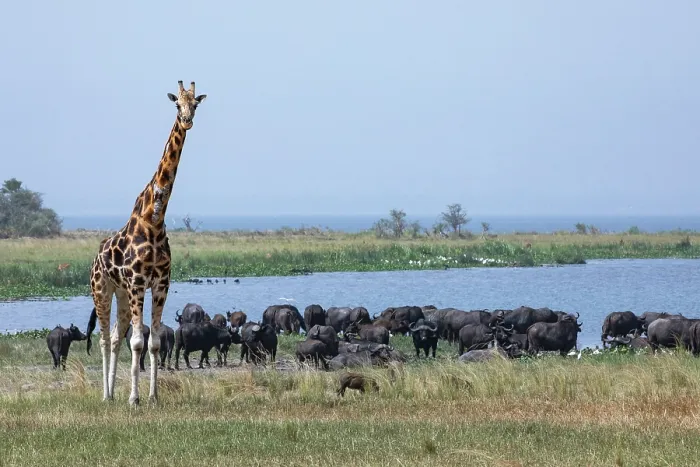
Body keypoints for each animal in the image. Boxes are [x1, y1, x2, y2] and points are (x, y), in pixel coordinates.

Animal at [90, 80, 206, 405]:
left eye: (195, 103)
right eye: (177, 104)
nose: (187, 120)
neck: (153, 218)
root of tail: (95, 258)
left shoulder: (160, 283)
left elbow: (152, 343)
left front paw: (152, 396)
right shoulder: (138, 282)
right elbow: (138, 343)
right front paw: (134, 399)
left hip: (121, 293)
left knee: (115, 336)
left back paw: (112, 393)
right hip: (102, 289)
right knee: (104, 339)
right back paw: (105, 396)